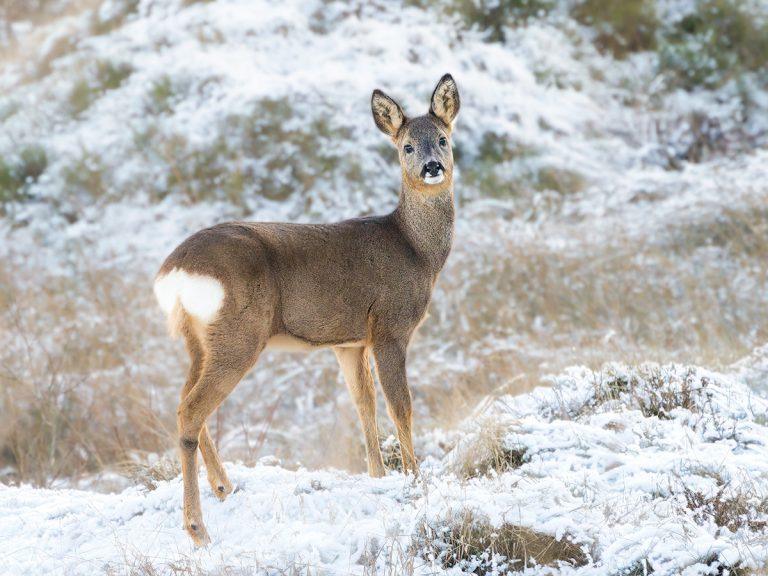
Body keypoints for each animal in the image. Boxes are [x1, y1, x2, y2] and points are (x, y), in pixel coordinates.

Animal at [153, 74, 460, 545]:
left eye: (443, 139)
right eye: (407, 146)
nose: (432, 166)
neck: (415, 250)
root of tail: (174, 272)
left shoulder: (349, 341)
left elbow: (364, 405)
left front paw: (378, 477)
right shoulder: (390, 326)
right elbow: (400, 406)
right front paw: (415, 479)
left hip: (199, 340)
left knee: (183, 403)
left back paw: (224, 487)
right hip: (239, 334)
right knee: (191, 411)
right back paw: (197, 527)